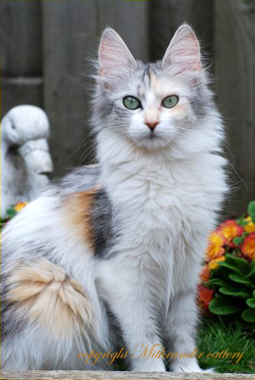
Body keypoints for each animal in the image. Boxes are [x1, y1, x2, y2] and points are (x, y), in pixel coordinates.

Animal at [0, 23, 226, 372]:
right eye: (131, 103)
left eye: (170, 101)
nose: (151, 123)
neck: (161, 171)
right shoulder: (122, 273)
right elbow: (144, 336)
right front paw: (153, 374)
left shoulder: (185, 269)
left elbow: (182, 331)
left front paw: (189, 371)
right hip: (52, 284)